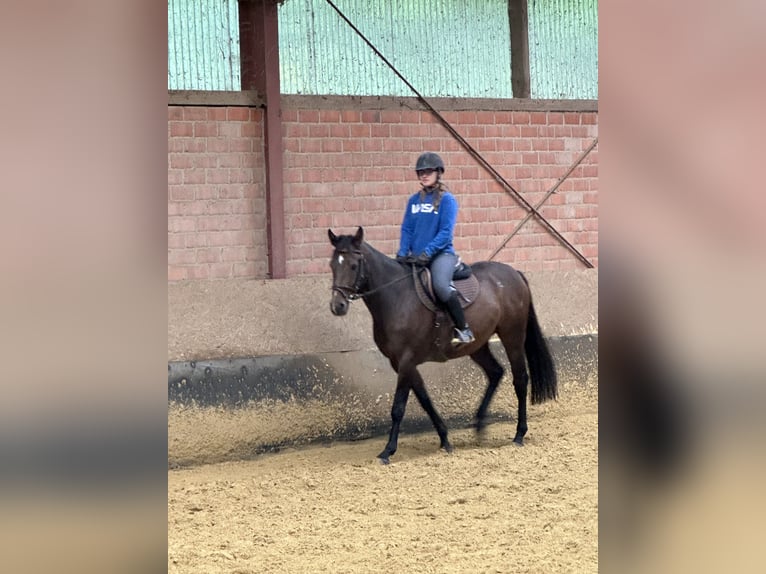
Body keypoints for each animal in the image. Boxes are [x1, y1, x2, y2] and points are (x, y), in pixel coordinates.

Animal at [328, 227, 560, 466]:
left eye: (353, 265)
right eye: (333, 265)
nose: (338, 306)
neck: (396, 297)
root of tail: (513, 272)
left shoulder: (406, 360)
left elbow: (398, 408)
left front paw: (388, 451)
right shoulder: (400, 362)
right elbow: (425, 400)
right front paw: (445, 440)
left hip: (512, 335)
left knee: (520, 379)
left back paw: (518, 434)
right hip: (477, 346)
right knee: (495, 372)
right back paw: (479, 425)